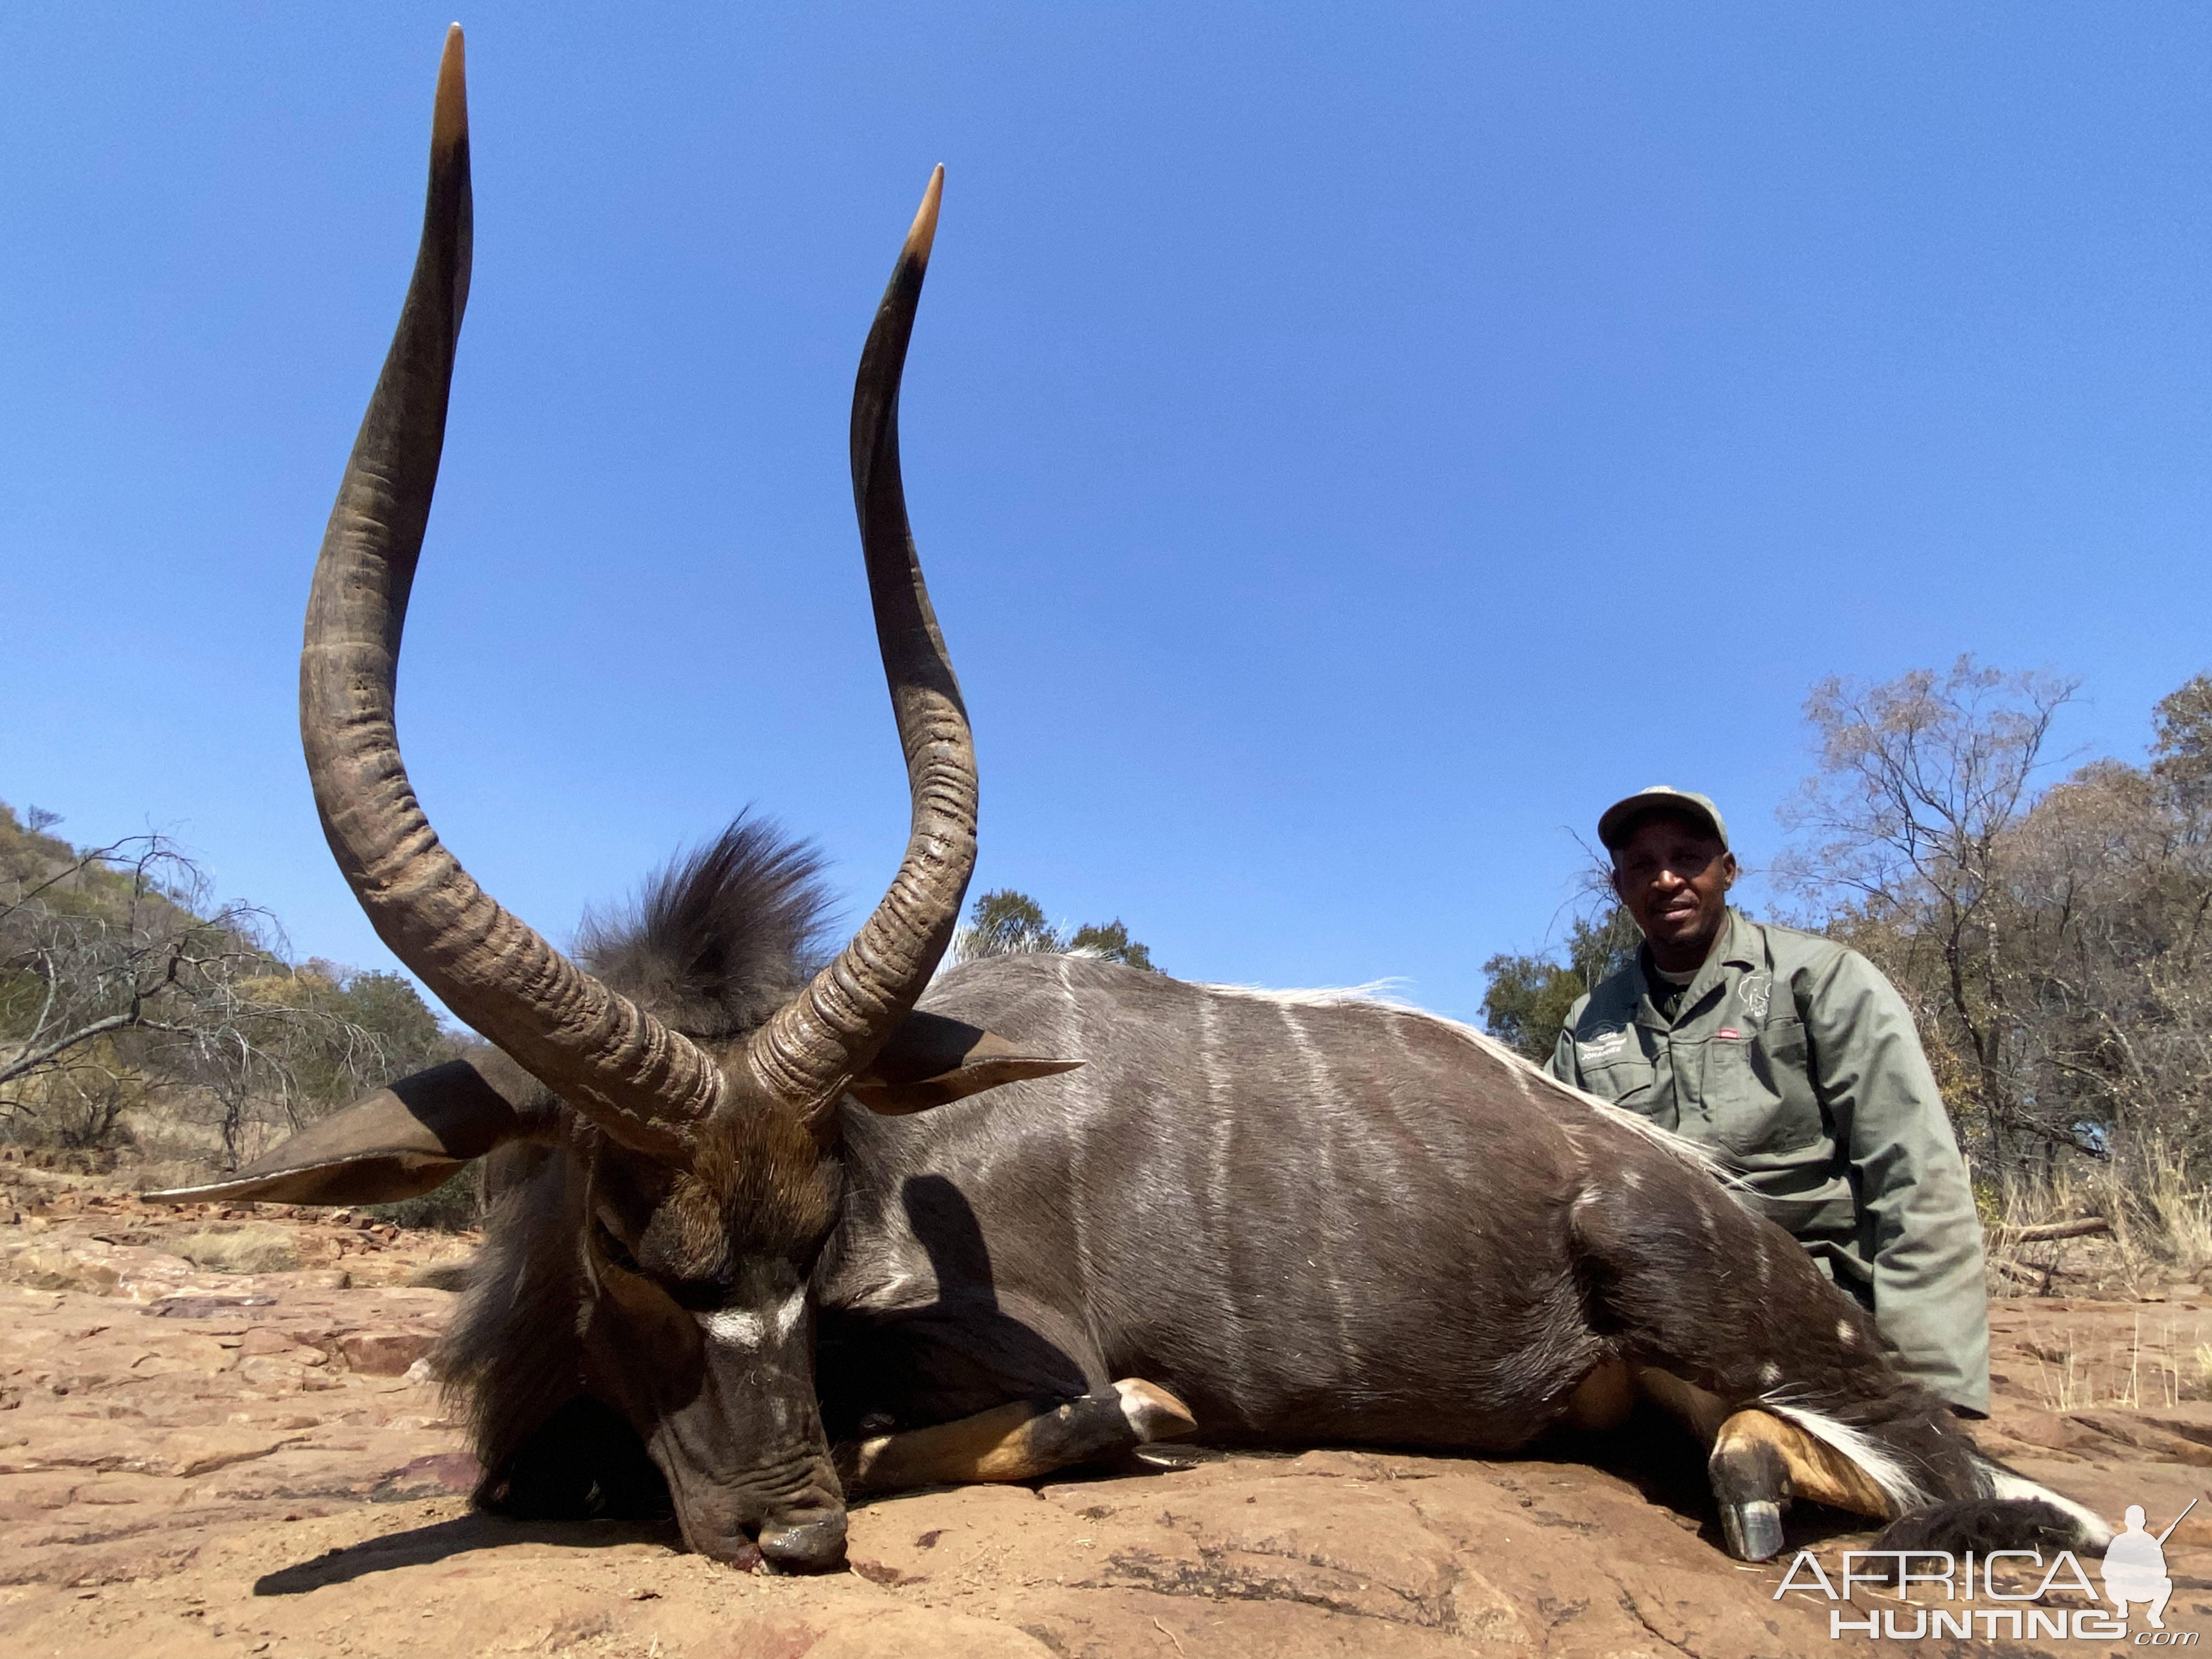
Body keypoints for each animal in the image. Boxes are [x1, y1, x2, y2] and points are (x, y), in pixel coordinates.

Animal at [160, 29, 2106, 1583]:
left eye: (807, 1245)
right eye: (634, 1253)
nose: (790, 1533)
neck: (910, 1158)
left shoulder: (1035, 1358)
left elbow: (1097, 1413)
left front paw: (1136, 1422)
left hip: (1701, 1291)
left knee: (1993, 1491)